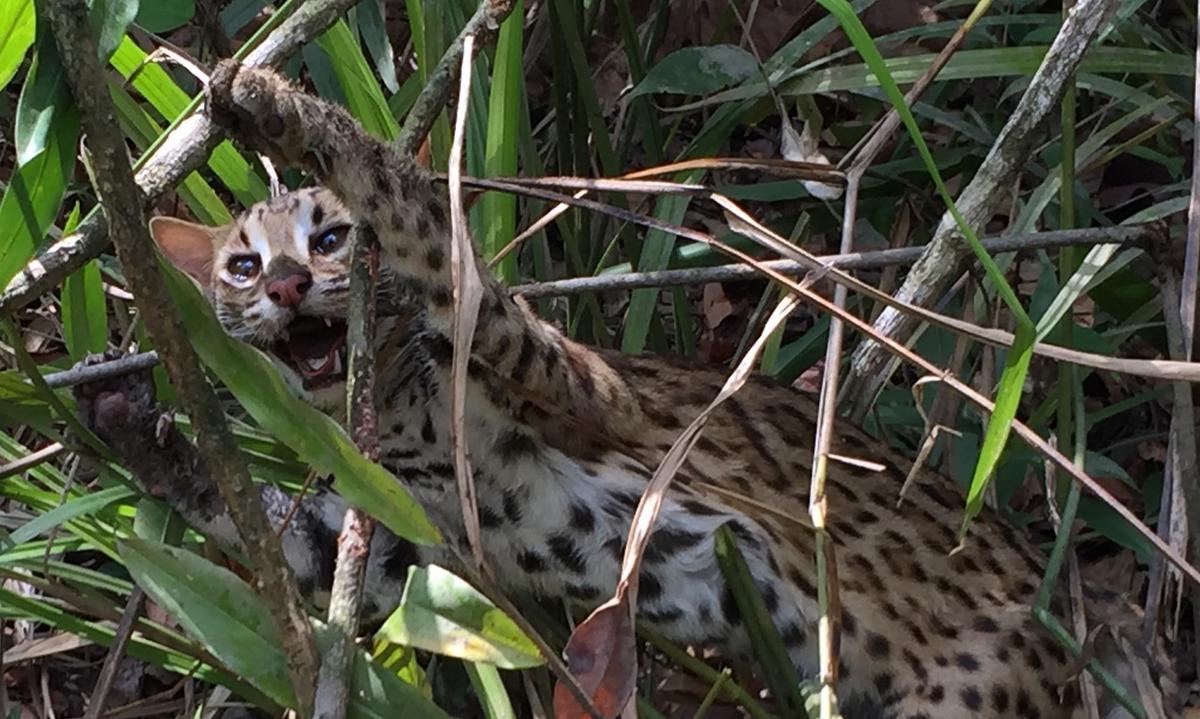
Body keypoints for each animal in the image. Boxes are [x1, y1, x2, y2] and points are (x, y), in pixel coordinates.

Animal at [73, 59, 1178, 719]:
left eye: (331, 238)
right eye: (242, 267)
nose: (292, 287)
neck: (400, 412)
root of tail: (1083, 619)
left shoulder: (571, 381)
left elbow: (417, 207)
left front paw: (287, 109)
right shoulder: (417, 546)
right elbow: (283, 531)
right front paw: (136, 430)